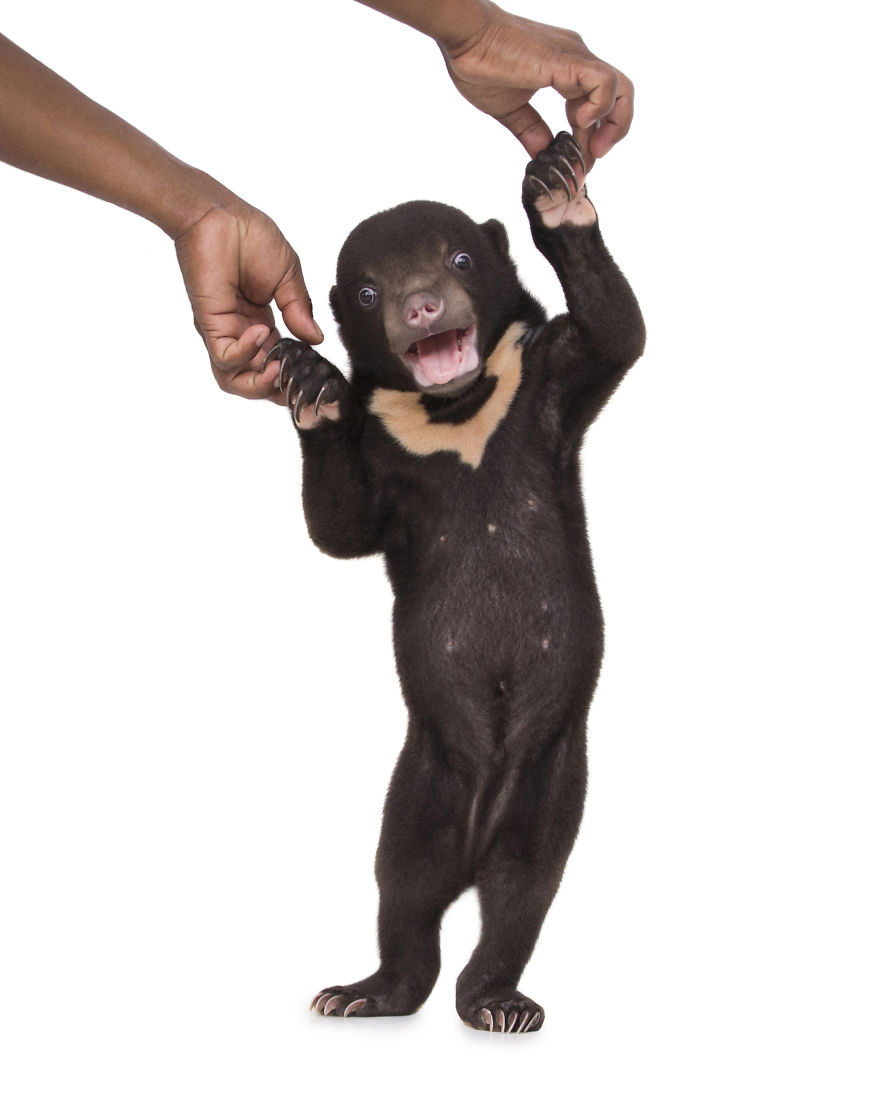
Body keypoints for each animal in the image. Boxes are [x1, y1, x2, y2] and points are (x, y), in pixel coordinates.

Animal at [264, 132, 645, 1032]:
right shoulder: (385, 456)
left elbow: (615, 333)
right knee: (403, 891)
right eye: (371, 290)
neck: (456, 412)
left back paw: (499, 1002)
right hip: (420, 791)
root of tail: (476, 830)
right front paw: (310, 381)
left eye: (462, 258)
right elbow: (338, 528)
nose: (423, 308)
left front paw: (556, 185)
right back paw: (362, 993)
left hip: (551, 788)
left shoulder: (544, 386)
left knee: (521, 894)